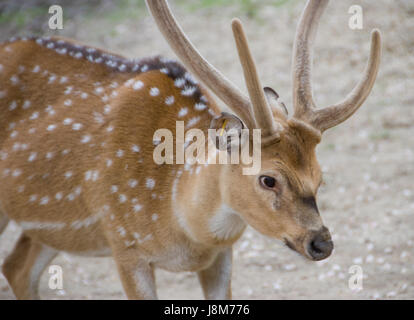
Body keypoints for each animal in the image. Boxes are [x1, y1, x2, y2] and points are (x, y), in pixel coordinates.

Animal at [0, 0, 380, 300]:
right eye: (268, 179)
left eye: (320, 176)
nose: (322, 243)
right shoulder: (124, 245)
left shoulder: (221, 255)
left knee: (17, 266)